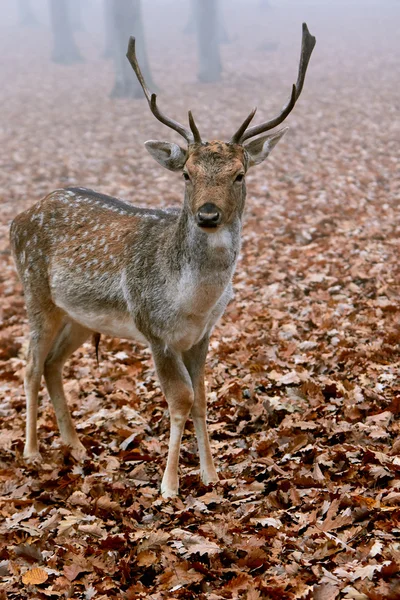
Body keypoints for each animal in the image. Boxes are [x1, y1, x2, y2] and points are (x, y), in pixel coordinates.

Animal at [10, 23, 316, 500]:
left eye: (239, 174)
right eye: (187, 173)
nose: (207, 215)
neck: (192, 302)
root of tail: (16, 219)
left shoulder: (203, 335)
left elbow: (203, 397)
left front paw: (211, 476)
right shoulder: (155, 331)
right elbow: (180, 400)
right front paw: (169, 486)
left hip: (78, 315)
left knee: (52, 363)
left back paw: (75, 446)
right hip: (35, 292)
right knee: (27, 364)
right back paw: (32, 452)